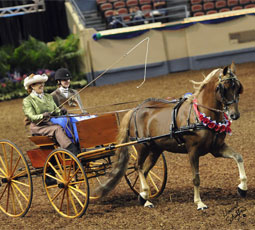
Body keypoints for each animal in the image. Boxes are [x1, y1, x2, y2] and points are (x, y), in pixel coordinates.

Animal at [94, 63, 246, 210]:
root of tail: (136, 109)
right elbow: (196, 178)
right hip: (142, 146)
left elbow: (238, 157)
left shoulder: (216, 148)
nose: (235, 115)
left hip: (155, 150)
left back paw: (144, 198)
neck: (200, 115)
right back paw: (145, 195)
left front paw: (242, 188)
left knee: (144, 170)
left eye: (238, 88)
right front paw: (199, 203)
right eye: (224, 88)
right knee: (138, 167)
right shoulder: (193, 151)